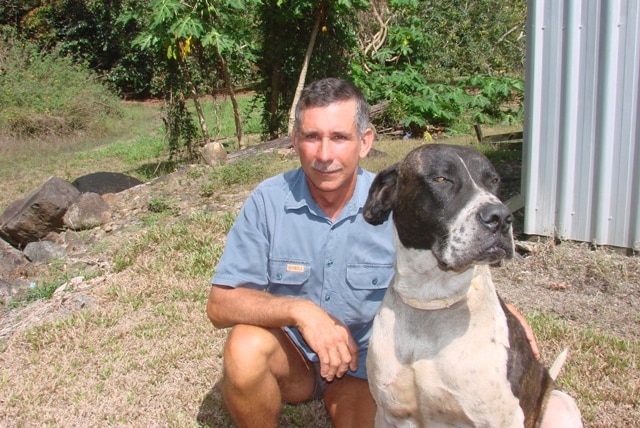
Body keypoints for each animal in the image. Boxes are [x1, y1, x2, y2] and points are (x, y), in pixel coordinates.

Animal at [362, 145, 584, 428]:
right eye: (441, 179)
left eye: (494, 180)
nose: (501, 217)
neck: (431, 303)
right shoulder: (390, 414)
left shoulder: (501, 420)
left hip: (559, 405)